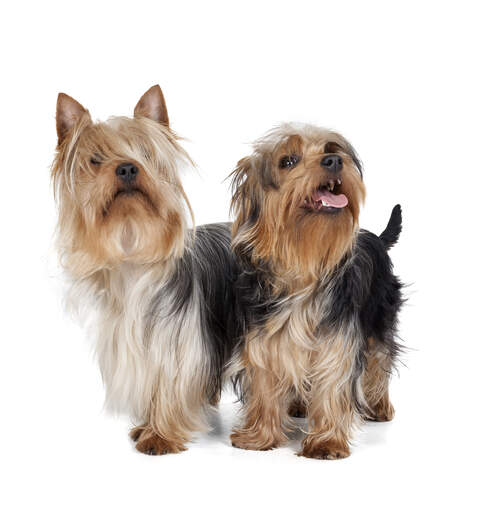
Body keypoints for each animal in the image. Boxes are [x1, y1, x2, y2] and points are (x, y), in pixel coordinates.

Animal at [52, 86, 237, 454]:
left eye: (146, 154)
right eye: (95, 159)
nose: (126, 168)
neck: (131, 241)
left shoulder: (177, 344)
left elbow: (170, 383)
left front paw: (160, 435)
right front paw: (146, 426)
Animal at [228, 125, 402, 460]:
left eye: (331, 150)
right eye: (288, 161)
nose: (334, 161)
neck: (304, 268)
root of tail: (376, 237)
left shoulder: (337, 340)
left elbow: (332, 382)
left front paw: (326, 443)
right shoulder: (264, 338)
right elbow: (265, 382)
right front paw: (259, 436)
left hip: (380, 316)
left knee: (380, 360)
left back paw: (379, 406)